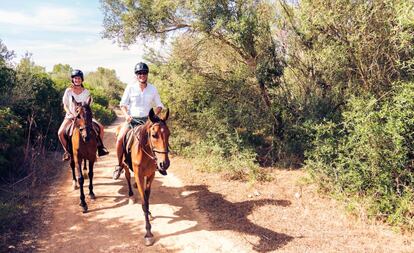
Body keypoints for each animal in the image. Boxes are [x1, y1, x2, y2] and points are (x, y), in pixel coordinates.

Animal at [122, 108, 171, 245]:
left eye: (169, 134)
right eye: (154, 135)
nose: (164, 163)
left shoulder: (150, 175)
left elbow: (147, 197)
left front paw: (148, 213)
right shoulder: (139, 175)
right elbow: (144, 201)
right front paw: (148, 233)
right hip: (125, 165)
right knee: (127, 176)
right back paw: (131, 196)